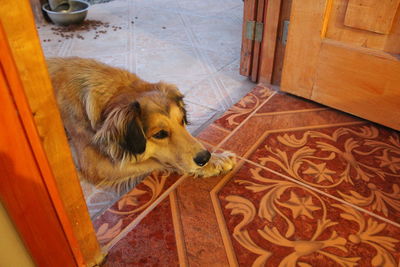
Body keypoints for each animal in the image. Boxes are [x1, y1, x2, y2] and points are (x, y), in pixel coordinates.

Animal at [47, 57, 234, 189]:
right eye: (160, 134)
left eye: (182, 120)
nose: (205, 157)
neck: (113, 94)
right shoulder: (96, 166)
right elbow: (157, 161)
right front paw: (214, 162)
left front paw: (215, 157)